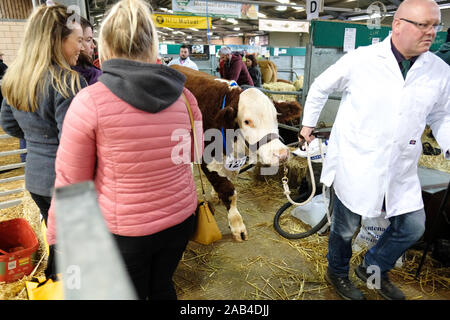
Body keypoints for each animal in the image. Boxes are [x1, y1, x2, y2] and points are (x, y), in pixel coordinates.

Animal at [172, 64, 302, 240]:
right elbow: (229, 191)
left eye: (276, 116)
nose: (281, 154)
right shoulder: (207, 160)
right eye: (247, 121)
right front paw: (237, 226)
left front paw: (216, 194)